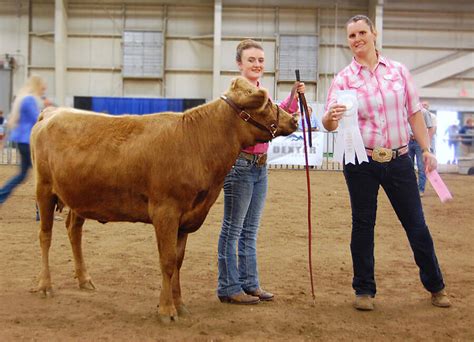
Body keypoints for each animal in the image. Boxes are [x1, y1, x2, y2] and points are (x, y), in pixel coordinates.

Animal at [30, 77, 296, 324]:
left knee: (73, 230)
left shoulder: (185, 218)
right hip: (44, 188)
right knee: (45, 236)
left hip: (78, 196)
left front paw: (179, 304)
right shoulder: (165, 212)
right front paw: (166, 310)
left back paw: (84, 279)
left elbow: (177, 262)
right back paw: (44, 285)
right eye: (266, 103)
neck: (196, 142)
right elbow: (167, 261)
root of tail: (52, 112)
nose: (294, 119)